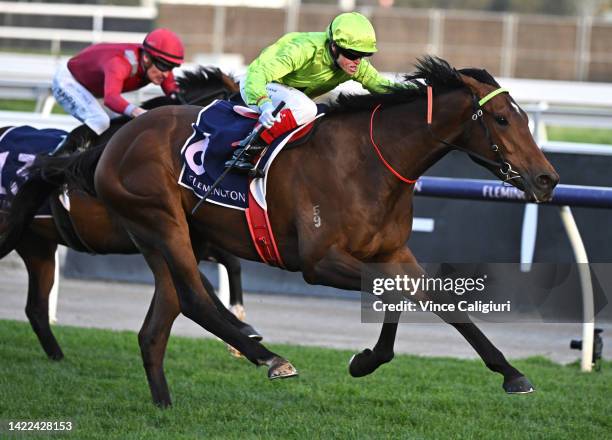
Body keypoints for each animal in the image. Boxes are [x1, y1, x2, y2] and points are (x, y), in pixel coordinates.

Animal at [0, 66, 258, 360]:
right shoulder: (154, 234)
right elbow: (199, 281)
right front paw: (241, 331)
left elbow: (231, 263)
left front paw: (242, 324)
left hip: (36, 244)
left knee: (36, 307)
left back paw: (58, 357)